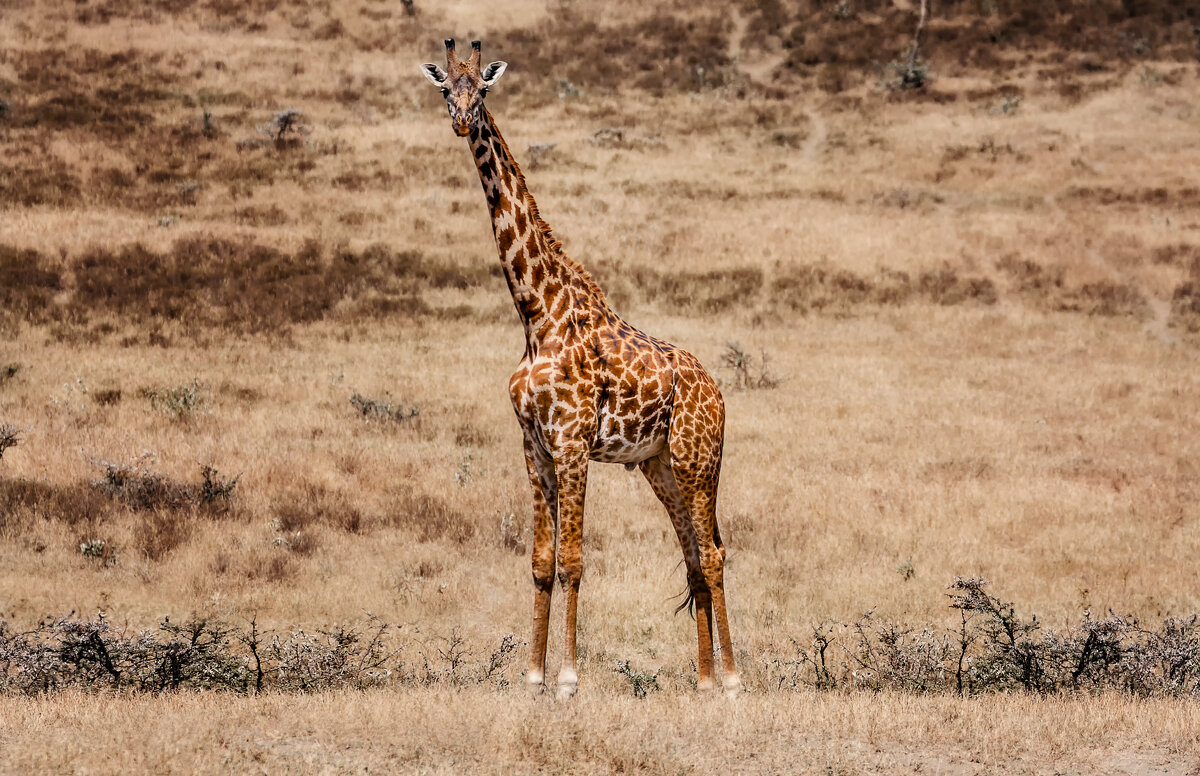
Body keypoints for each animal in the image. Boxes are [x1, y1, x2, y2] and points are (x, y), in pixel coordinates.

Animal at [422, 39, 739, 700]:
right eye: (444, 90)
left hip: (698, 461)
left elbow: (572, 560)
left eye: (481, 91)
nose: (461, 121)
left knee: (715, 554)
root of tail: (719, 392)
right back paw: (700, 680)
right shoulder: (534, 446)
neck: (536, 314)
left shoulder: (570, 442)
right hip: (661, 466)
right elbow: (541, 563)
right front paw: (534, 676)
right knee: (693, 555)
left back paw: (731, 679)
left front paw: (568, 678)